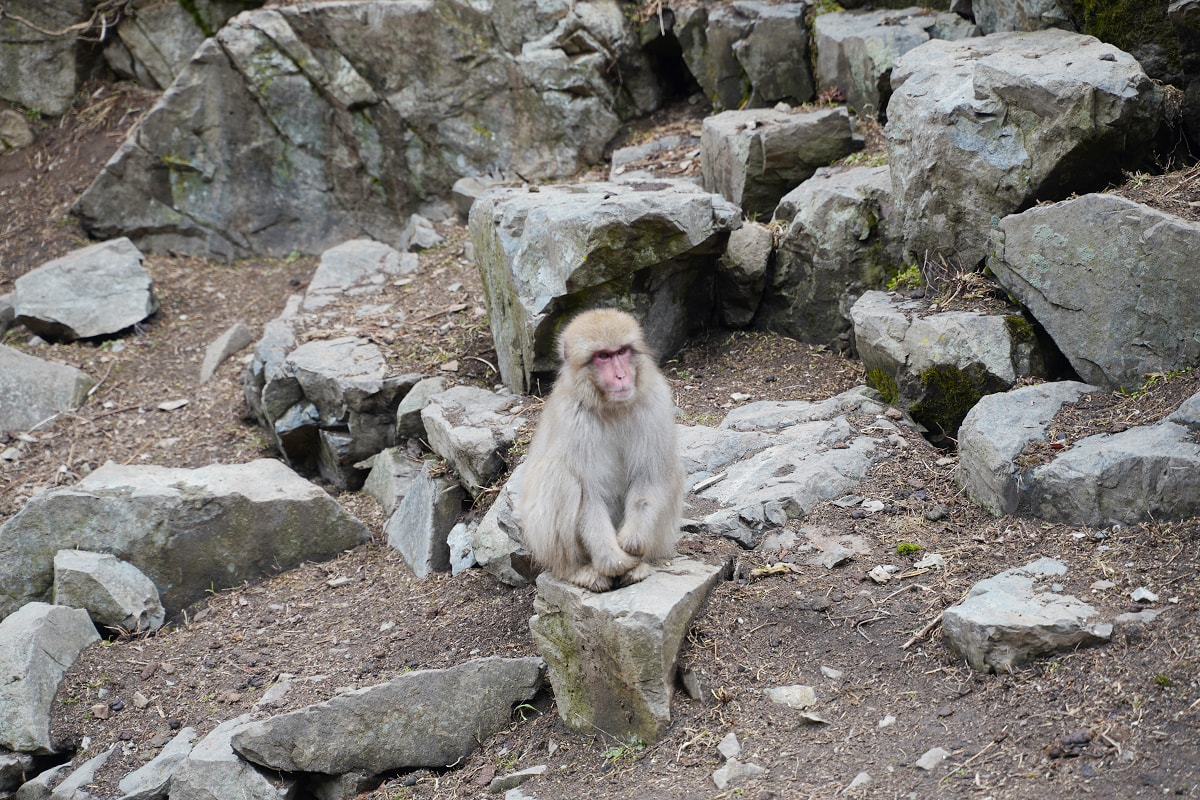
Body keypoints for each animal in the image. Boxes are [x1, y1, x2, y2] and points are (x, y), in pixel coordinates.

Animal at [517, 308, 684, 592]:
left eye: (622, 352)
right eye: (603, 356)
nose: (621, 376)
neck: (611, 407)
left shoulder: (656, 402)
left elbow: (650, 476)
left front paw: (632, 542)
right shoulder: (573, 420)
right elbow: (589, 494)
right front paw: (612, 559)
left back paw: (638, 566)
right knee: (557, 474)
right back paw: (576, 570)